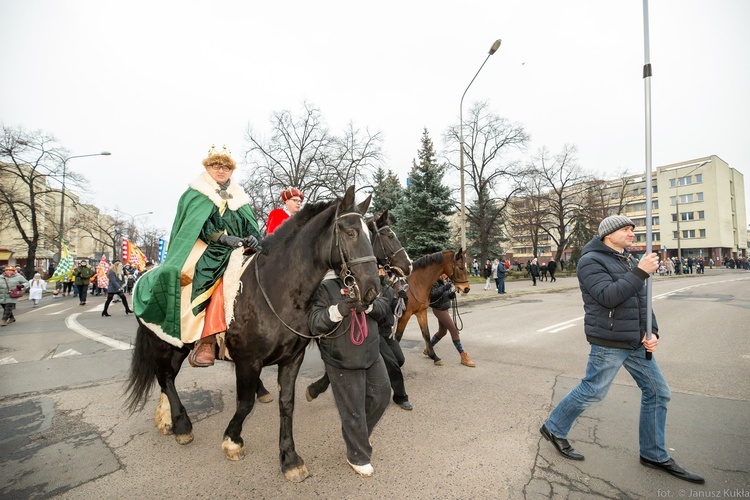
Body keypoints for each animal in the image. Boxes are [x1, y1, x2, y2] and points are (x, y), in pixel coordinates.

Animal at [126, 186, 382, 482]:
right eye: (351, 233)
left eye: (371, 235)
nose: (372, 291)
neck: (278, 289)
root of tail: (145, 276)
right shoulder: (248, 362)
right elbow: (245, 403)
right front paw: (232, 441)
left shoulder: (292, 359)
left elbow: (287, 404)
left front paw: (289, 459)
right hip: (163, 342)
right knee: (164, 376)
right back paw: (181, 425)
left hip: (178, 346)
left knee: (166, 377)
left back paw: (167, 418)